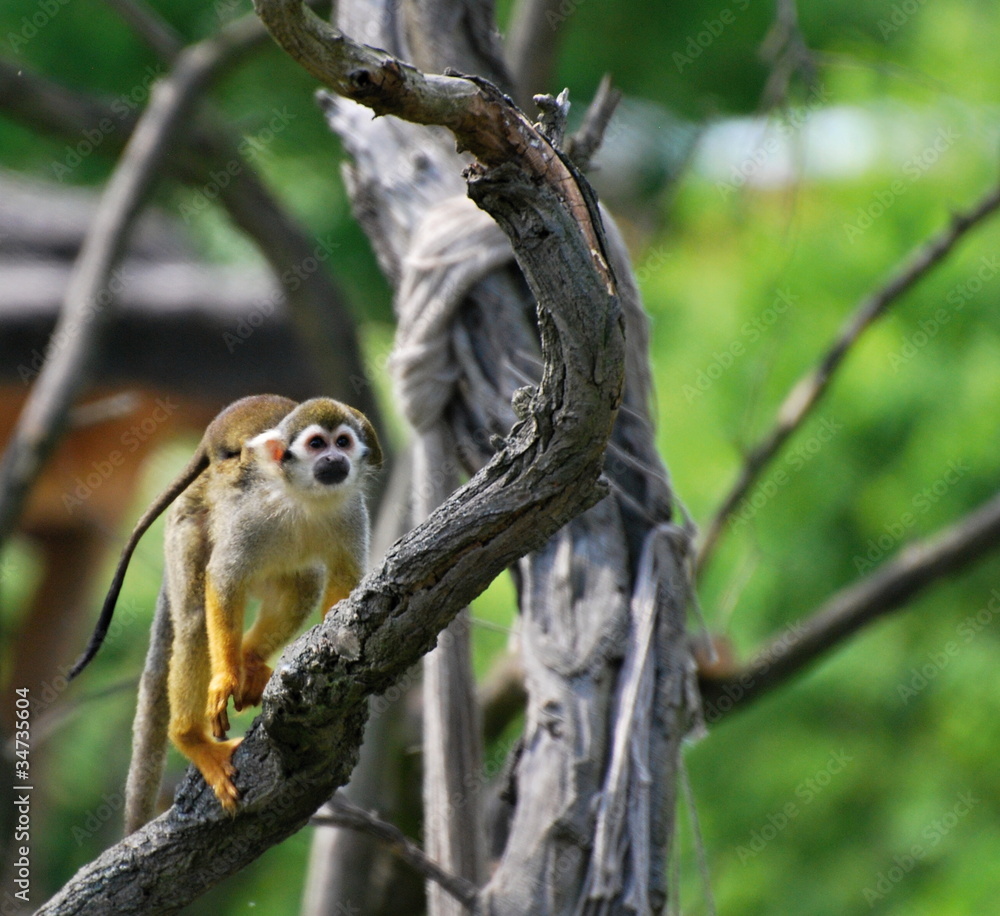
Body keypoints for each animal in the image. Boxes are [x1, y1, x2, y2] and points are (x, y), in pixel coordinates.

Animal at [66, 394, 382, 832]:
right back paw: (192, 738)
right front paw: (226, 678)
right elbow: (223, 580)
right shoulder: (250, 515)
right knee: (197, 618)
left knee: (304, 580)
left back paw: (249, 659)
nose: (335, 459)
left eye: (344, 443)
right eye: (318, 444)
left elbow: (343, 586)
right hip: (186, 527)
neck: (305, 496)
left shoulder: (352, 513)